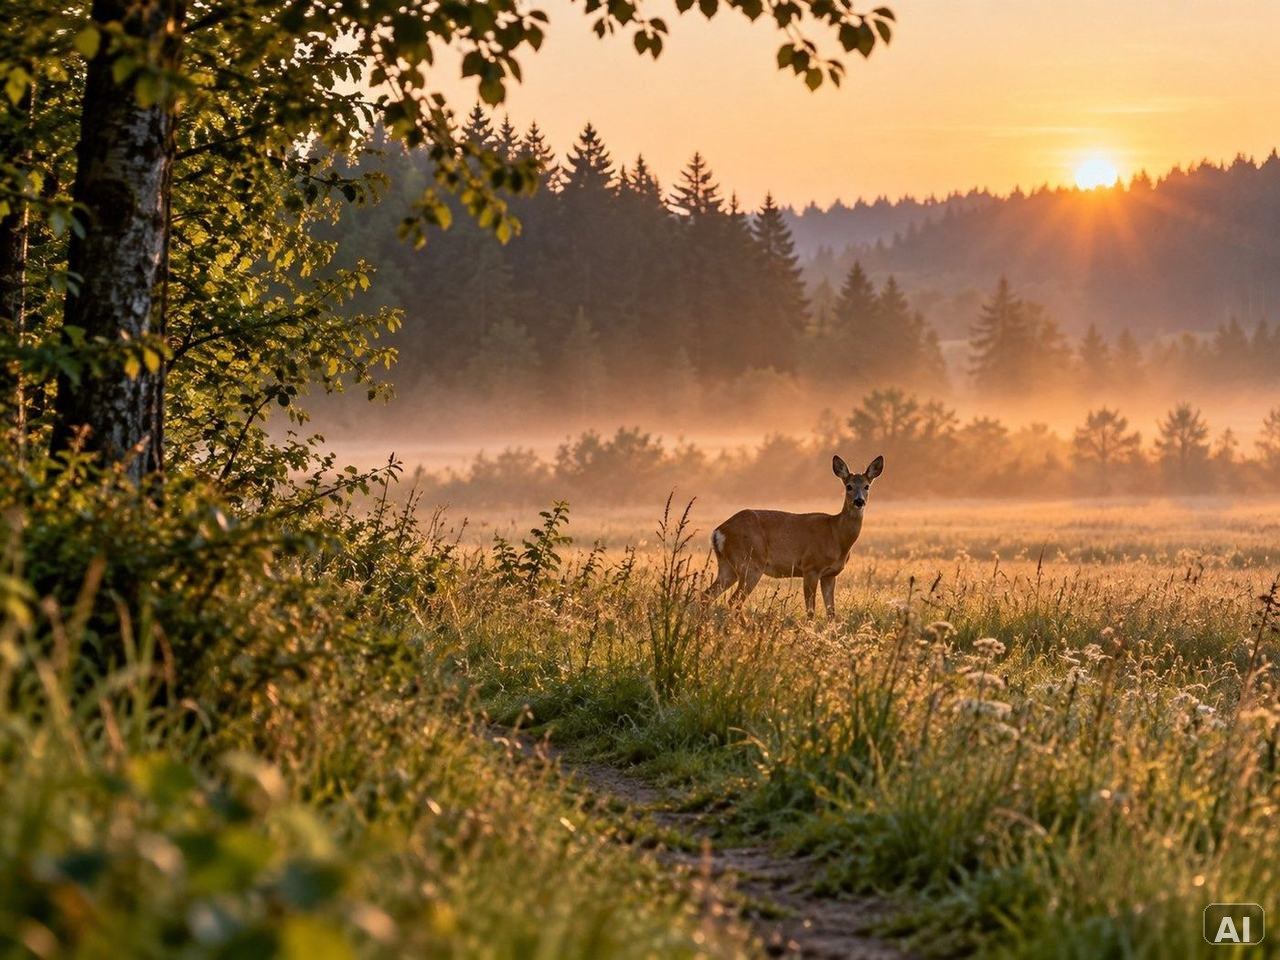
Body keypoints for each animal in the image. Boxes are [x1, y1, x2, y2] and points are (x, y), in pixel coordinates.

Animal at [706, 454, 884, 619]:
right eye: (849, 486)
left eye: (867, 486)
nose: (859, 501)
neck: (836, 534)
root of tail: (718, 532)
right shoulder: (811, 567)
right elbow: (811, 611)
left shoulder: (830, 574)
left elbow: (831, 612)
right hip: (750, 563)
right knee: (733, 600)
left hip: (728, 567)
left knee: (707, 595)